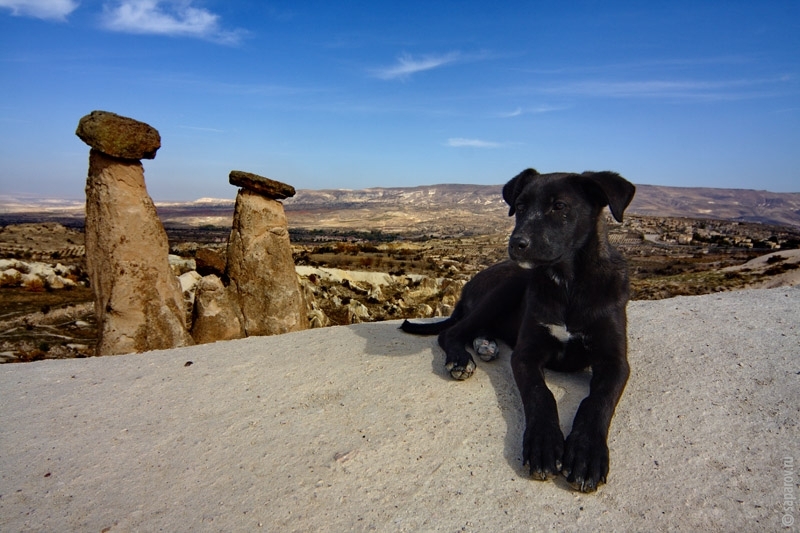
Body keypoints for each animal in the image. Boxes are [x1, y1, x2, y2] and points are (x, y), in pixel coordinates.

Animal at [404, 168, 636, 492]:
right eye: (521, 206)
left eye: (559, 206)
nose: (516, 243)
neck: (568, 283)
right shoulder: (526, 354)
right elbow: (540, 394)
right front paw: (544, 444)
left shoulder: (614, 361)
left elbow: (597, 401)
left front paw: (586, 452)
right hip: (509, 286)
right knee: (451, 333)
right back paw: (461, 359)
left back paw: (485, 345)